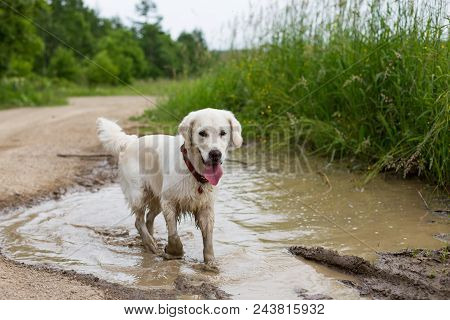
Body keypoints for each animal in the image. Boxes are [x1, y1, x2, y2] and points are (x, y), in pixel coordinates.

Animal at [96, 109, 243, 268]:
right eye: (202, 133)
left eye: (223, 133)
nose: (215, 154)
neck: (193, 170)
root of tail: (130, 141)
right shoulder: (169, 201)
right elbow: (173, 234)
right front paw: (174, 252)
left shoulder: (206, 206)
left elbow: (208, 238)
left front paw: (210, 263)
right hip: (139, 193)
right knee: (139, 221)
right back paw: (150, 243)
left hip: (156, 198)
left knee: (149, 217)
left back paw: (151, 239)